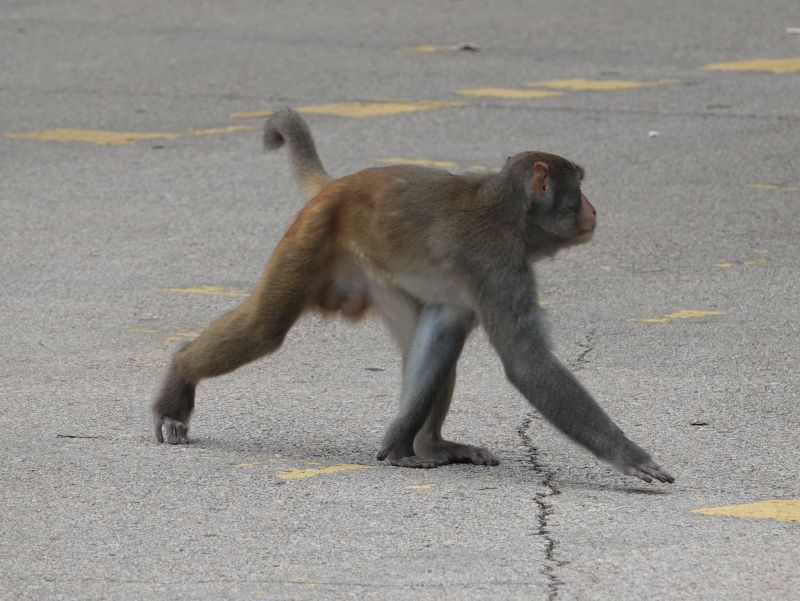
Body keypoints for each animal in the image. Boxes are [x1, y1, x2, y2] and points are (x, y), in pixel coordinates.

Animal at [152, 108, 674, 484]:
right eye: (579, 188)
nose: (594, 209)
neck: (508, 211)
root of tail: (338, 184)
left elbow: (443, 330)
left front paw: (400, 443)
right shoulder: (499, 264)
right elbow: (526, 361)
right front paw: (628, 454)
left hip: (378, 277)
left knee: (428, 344)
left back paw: (432, 444)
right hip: (314, 233)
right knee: (265, 327)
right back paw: (179, 376)